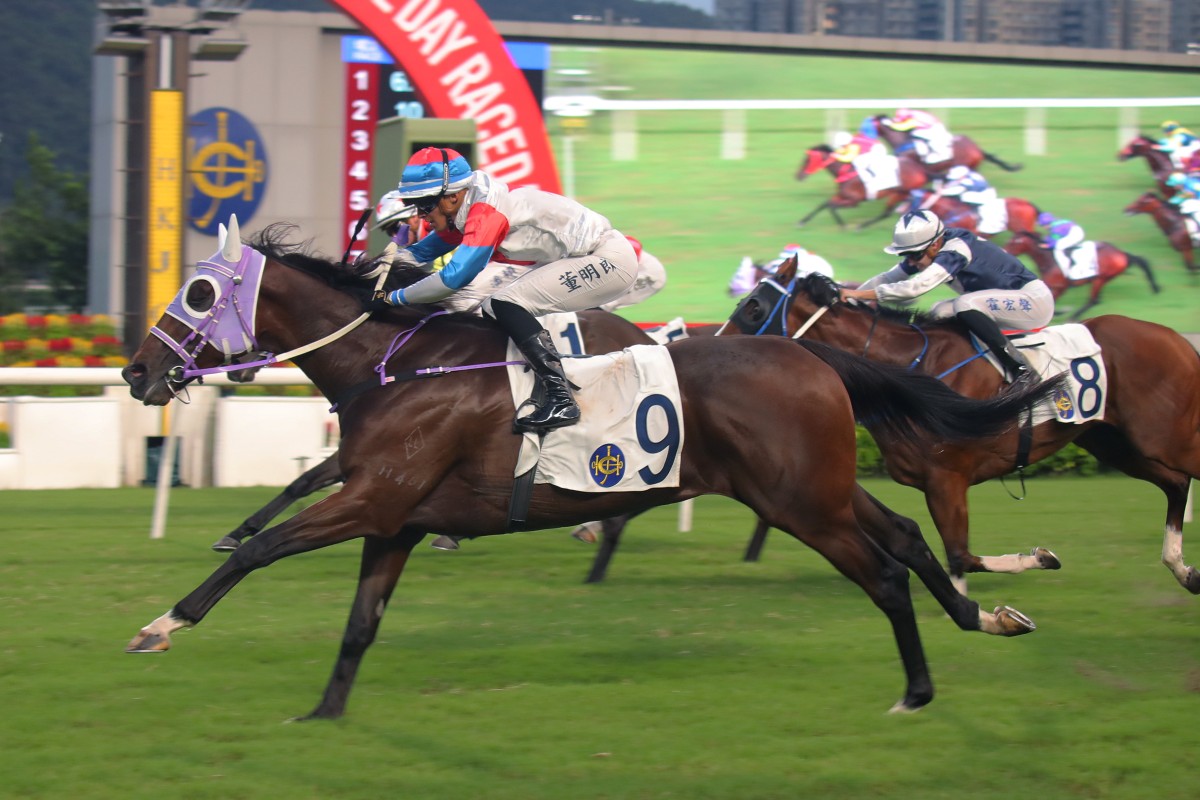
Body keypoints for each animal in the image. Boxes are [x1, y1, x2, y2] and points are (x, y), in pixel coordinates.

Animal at [121, 219, 1060, 719]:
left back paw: (918, 689)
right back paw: (988, 618)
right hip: (816, 488)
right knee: (906, 536)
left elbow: (260, 550)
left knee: (885, 573)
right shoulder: (395, 519)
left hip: (803, 503)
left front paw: (161, 625)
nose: (136, 372)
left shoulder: (371, 499)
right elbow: (359, 623)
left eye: (198, 294)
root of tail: (814, 358)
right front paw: (324, 711)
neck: (392, 365)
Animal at [720, 266, 1200, 597]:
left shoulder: (946, 477)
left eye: (753, 308)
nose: (720, 347)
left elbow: (959, 554)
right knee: (1175, 484)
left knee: (1181, 477)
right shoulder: (937, 481)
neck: (912, 368)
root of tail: (1176, 337)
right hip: (1115, 443)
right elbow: (959, 556)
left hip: (1165, 436)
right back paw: (1182, 568)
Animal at [796, 143, 926, 230]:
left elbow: (832, 206)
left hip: (900, 192)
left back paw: (861, 225)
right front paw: (802, 221)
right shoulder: (841, 196)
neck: (845, 173)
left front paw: (843, 225)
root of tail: (919, 169)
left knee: (887, 212)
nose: (798, 176)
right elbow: (825, 204)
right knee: (891, 211)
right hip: (901, 193)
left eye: (807, 160)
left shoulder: (854, 201)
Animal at [1003, 227, 1161, 319]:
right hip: (1101, 280)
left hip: (1100, 278)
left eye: (1014, 242)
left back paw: (1074, 317)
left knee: (1093, 300)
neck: (1049, 259)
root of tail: (1122, 254)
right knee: (1096, 300)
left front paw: (1061, 312)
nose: (1003, 251)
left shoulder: (1060, 287)